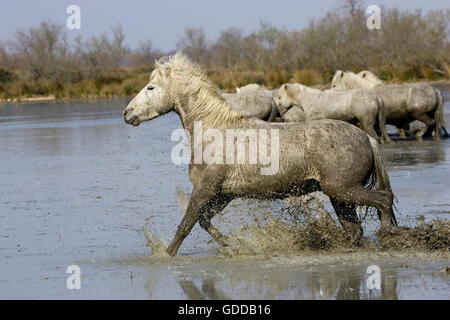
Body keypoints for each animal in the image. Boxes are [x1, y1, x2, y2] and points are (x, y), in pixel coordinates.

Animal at [123, 53, 398, 258]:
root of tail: (367, 138)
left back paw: (388, 238)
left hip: (343, 189)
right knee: (355, 230)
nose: (127, 113)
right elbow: (203, 221)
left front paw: (165, 255)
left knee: (383, 200)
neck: (215, 129)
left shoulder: (205, 189)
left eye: (151, 87)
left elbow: (186, 225)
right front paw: (232, 245)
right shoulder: (224, 194)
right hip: (339, 196)